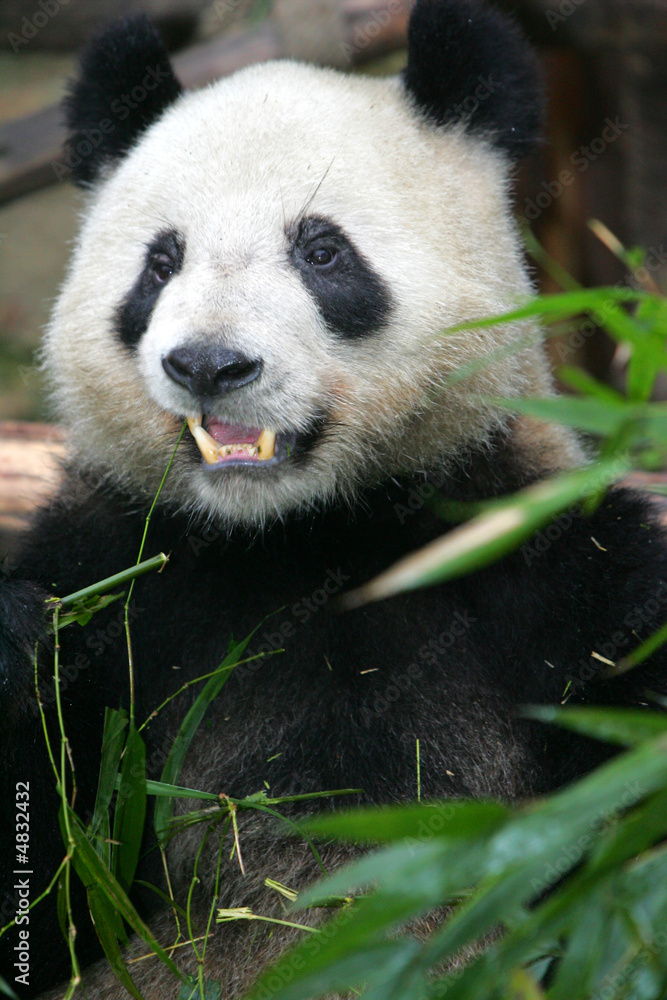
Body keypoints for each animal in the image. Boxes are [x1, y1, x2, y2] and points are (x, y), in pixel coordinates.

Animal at [1, 1, 666, 997]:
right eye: (160, 264)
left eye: (321, 251)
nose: (208, 365)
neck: (296, 536)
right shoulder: (118, 570)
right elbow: (58, 896)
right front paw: (14, 642)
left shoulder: (540, 567)